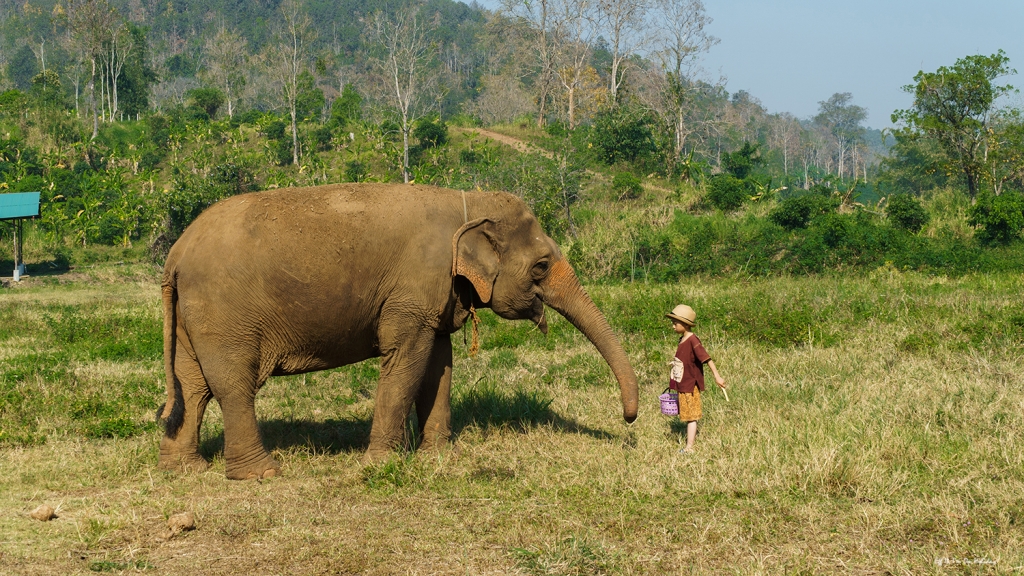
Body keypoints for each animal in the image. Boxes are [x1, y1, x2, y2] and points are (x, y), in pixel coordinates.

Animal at [155, 181, 634, 477]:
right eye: (541, 266)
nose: (629, 422)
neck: (468, 202)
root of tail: (176, 255)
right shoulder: (412, 290)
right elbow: (407, 361)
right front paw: (381, 464)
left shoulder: (436, 294)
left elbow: (439, 365)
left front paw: (438, 457)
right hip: (223, 314)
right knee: (233, 386)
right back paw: (262, 474)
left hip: (192, 317)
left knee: (192, 385)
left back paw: (185, 468)